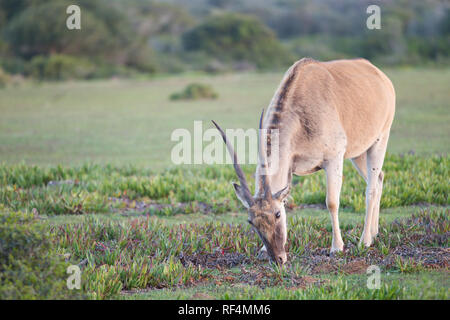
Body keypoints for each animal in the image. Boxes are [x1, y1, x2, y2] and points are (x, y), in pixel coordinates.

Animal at [213, 57, 396, 264]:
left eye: (277, 214)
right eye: (251, 221)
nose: (278, 259)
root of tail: (379, 75)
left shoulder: (333, 159)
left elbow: (332, 202)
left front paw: (336, 248)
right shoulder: (290, 166)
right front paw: (262, 249)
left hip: (379, 140)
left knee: (371, 188)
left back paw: (364, 241)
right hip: (358, 153)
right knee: (379, 178)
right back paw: (374, 233)